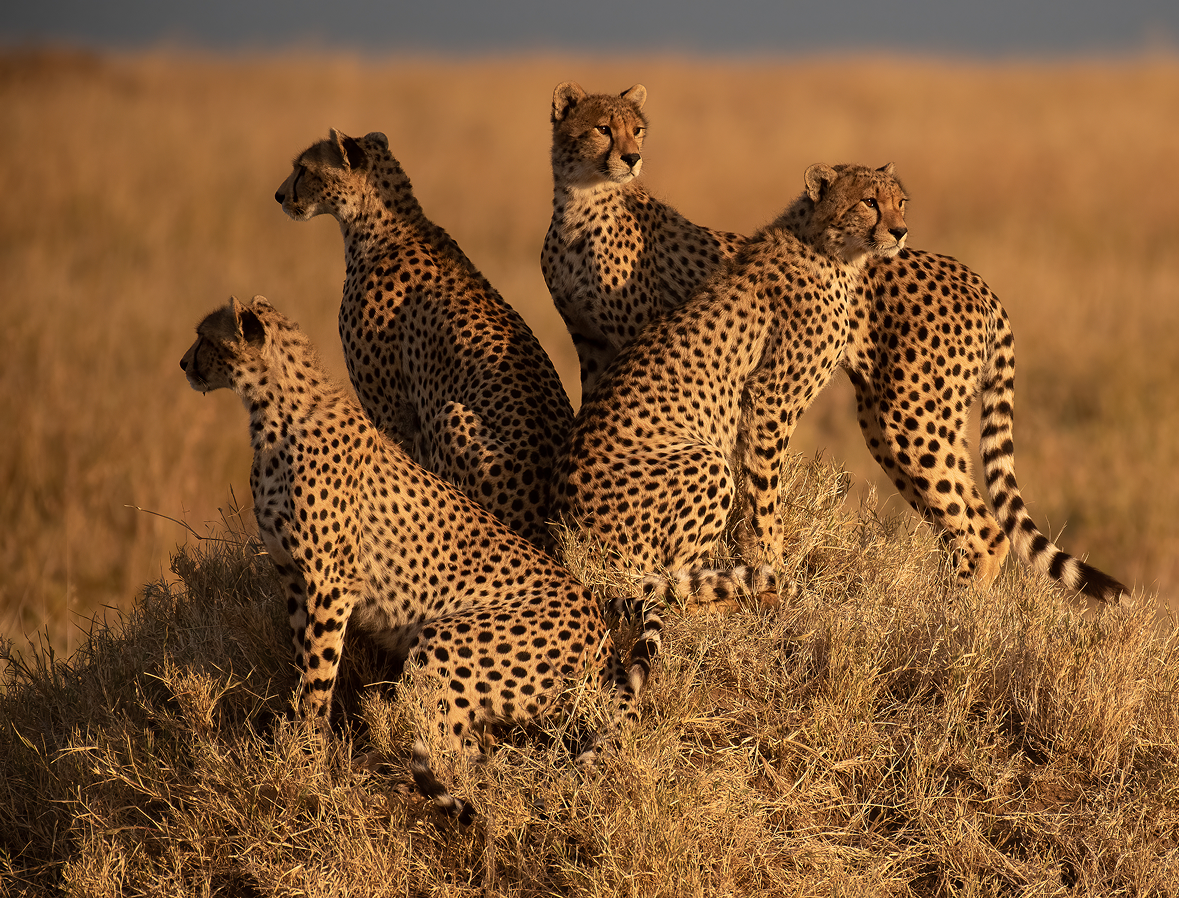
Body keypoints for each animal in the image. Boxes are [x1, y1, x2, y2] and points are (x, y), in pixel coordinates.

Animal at [180, 295, 661, 821]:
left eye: (204, 338)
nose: (184, 364)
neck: (276, 413)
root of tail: (600, 630)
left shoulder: (330, 584)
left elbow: (318, 674)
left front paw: (303, 755)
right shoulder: (293, 578)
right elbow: (303, 662)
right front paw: (300, 742)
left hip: (443, 638)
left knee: (449, 749)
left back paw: (385, 784)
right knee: (474, 750)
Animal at [541, 81, 746, 397]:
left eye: (636, 130)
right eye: (603, 129)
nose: (632, 158)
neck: (579, 204)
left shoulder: (640, 335)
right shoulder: (588, 338)